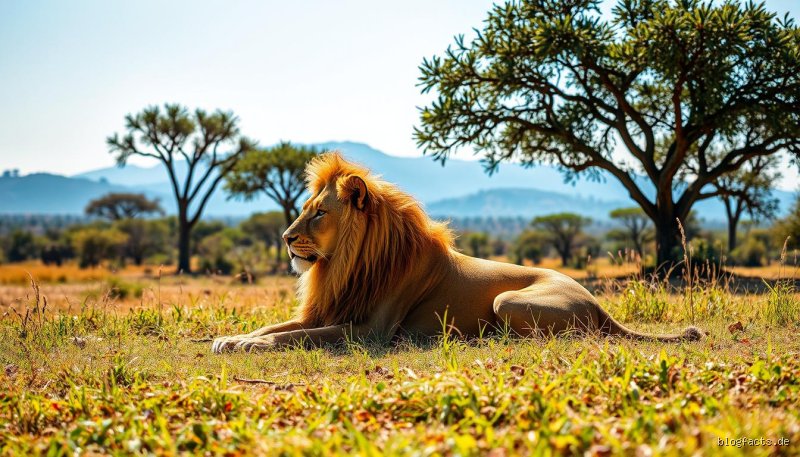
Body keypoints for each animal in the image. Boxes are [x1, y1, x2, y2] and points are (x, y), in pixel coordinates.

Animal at [212, 152, 702, 352]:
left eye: (318, 214)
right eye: (303, 210)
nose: (284, 237)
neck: (345, 264)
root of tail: (598, 303)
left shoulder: (369, 330)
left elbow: (296, 337)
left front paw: (248, 344)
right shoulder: (327, 310)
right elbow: (277, 327)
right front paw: (233, 338)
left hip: (509, 301)